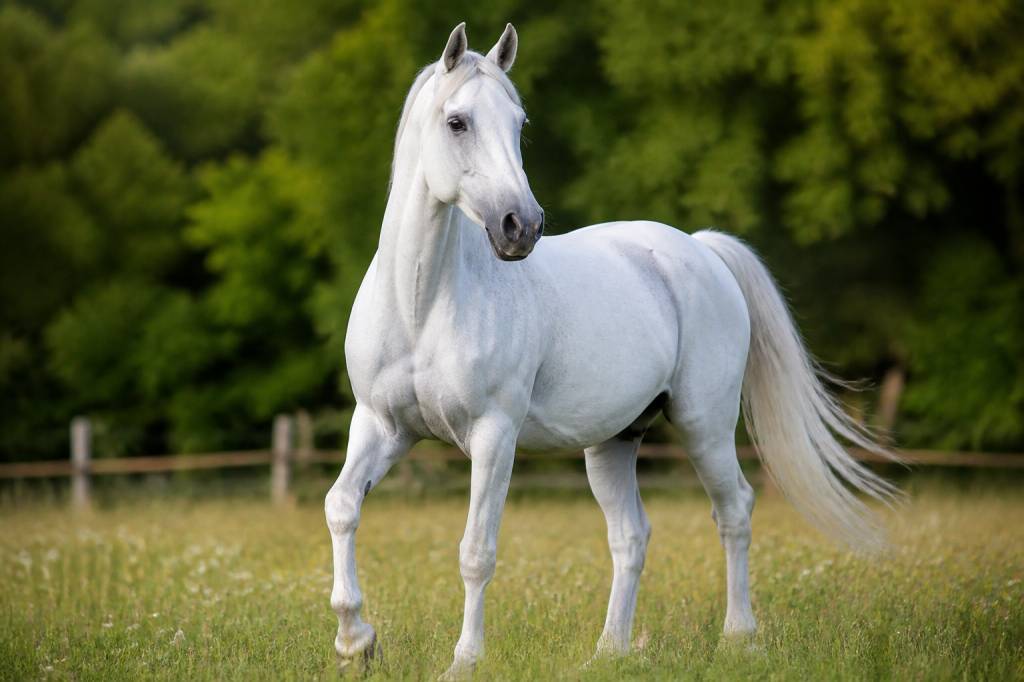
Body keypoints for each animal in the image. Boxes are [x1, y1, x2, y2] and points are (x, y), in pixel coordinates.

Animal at [324, 22, 899, 678]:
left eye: (519, 123)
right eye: (457, 122)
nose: (521, 226)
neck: (422, 305)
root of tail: (700, 248)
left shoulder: (493, 437)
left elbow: (477, 550)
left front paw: (464, 660)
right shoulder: (381, 425)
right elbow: (341, 506)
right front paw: (356, 641)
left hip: (704, 425)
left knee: (734, 511)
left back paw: (738, 638)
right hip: (613, 443)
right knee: (631, 536)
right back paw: (610, 650)